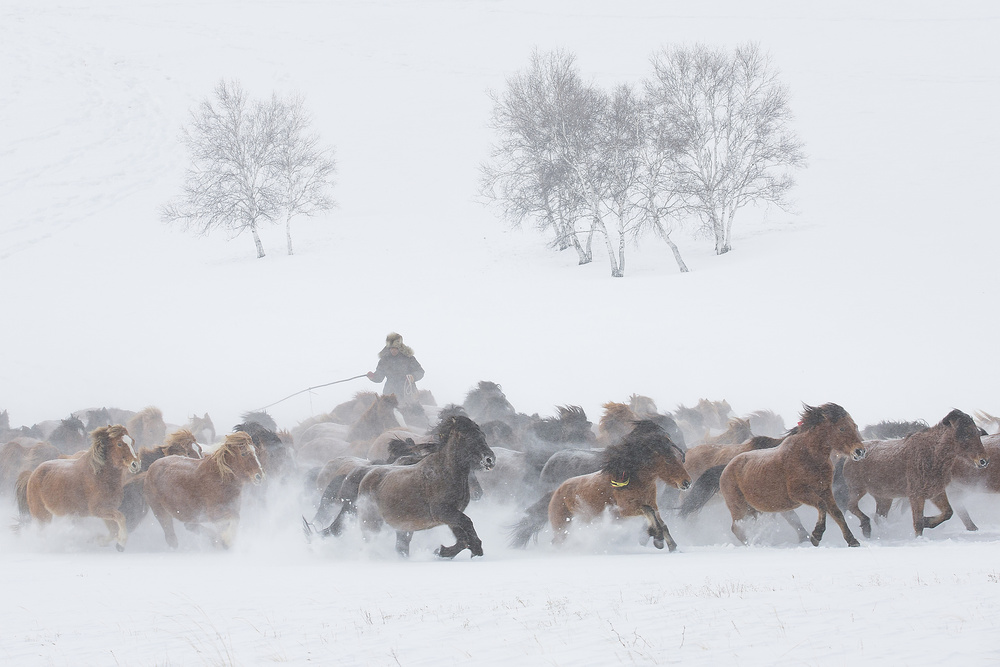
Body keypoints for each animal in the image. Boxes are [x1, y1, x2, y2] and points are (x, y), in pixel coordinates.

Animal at [356, 418, 496, 560]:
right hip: (371, 522)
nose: (489, 459)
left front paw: (442, 551)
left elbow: (463, 540)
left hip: (404, 528)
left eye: (483, 435)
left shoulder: (452, 516)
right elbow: (467, 525)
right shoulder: (443, 512)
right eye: (466, 437)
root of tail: (367, 476)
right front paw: (476, 550)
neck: (445, 473)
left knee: (401, 547)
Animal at [512, 422, 692, 552]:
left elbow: (660, 521)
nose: (687, 482)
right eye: (668, 460)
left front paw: (672, 546)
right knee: (557, 541)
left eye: (680, 457)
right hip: (561, 525)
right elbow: (649, 512)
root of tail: (556, 491)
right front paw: (658, 539)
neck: (632, 479)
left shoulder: (653, 504)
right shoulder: (624, 510)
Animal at [720, 404, 868, 552]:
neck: (809, 456)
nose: (860, 451)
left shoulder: (825, 490)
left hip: (754, 510)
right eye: (841, 428)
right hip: (739, 508)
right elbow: (821, 505)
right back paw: (754, 543)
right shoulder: (798, 493)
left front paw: (852, 541)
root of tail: (726, 468)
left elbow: (837, 513)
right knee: (737, 528)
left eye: (855, 426)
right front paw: (816, 536)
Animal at [844, 408, 992, 536]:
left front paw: (928, 521)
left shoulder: (936, 493)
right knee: (851, 506)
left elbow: (947, 513)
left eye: (977, 433)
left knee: (878, 517)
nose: (983, 461)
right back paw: (866, 528)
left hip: (884, 498)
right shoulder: (916, 495)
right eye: (966, 434)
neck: (933, 454)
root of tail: (851, 456)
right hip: (858, 489)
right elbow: (918, 523)